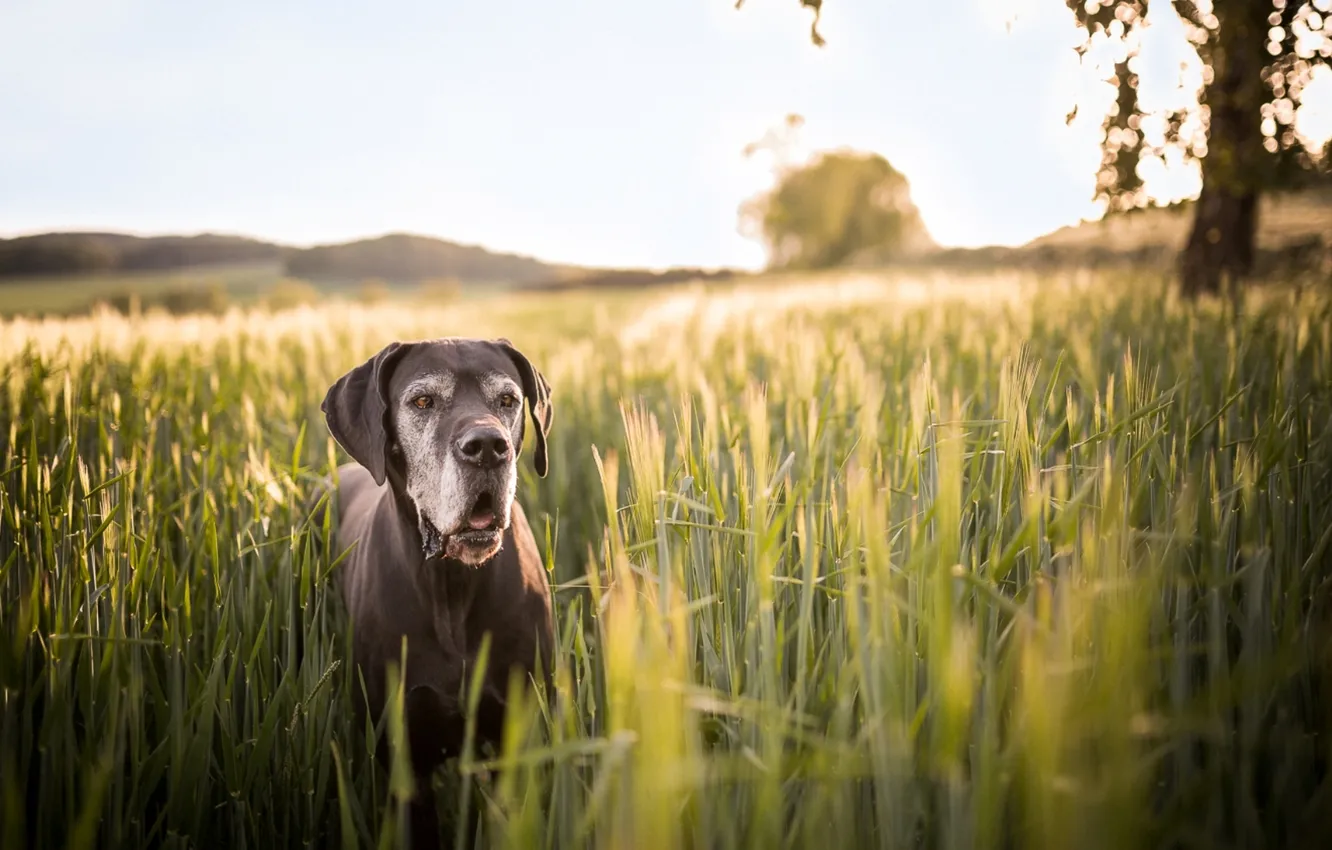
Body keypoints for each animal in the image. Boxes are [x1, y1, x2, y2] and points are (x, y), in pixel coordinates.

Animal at [322, 335, 556, 847]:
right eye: (423, 402)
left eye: (508, 400)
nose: (488, 447)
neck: (452, 586)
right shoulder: (405, 759)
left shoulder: (517, 737)